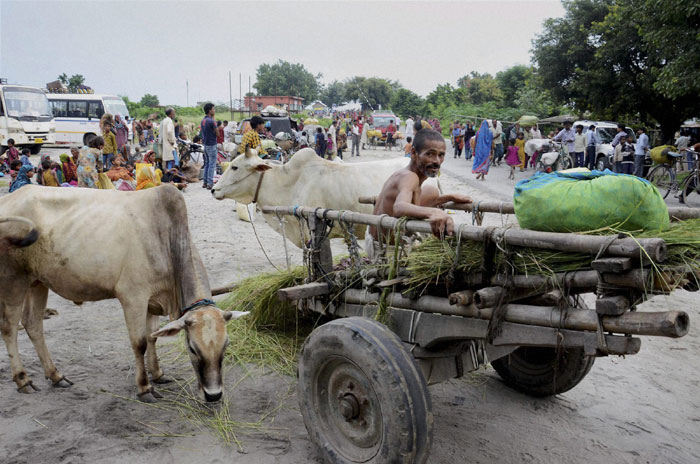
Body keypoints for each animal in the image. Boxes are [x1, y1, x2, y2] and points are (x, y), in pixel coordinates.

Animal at [0, 185, 247, 402]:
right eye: (192, 349)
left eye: (226, 345)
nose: (213, 395)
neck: (166, 239)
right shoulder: (133, 297)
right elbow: (140, 343)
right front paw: (145, 387)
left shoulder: (153, 300)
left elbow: (153, 336)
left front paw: (158, 374)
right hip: (14, 280)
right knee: (10, 327)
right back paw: (22, 379)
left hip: (38, 282)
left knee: (33, 324)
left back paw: (55, 375)